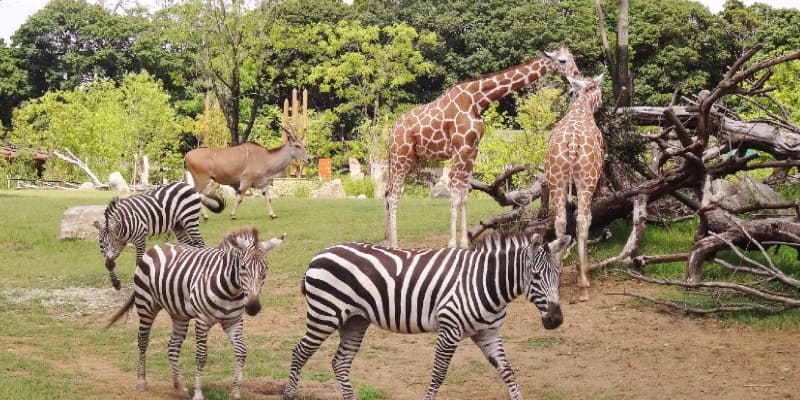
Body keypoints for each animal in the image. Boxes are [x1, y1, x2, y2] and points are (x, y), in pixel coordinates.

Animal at [94, 182, 225, 290]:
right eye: (101, 243)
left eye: (113, 242)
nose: (110, 262)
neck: (123, 226)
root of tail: (189, 186)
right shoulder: (121, 243)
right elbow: (110, 260)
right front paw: (115, 283)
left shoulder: (140, 238)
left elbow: (138, 261)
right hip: (178, 225)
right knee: (188, 245)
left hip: (190, 219)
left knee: (200, 243)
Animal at [104, 227, 282, 400]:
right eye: (243, 267)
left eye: (265, 269)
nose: (253, 307)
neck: (231, 290)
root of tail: (157, 246)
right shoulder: (202, 320)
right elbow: (201, 356)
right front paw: (198, 393)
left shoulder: (234, 321)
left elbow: (242, 352)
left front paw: (235, 392)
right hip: (146, 305)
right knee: (142, 341)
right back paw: (141, 382)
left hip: (179, 314)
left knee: (173, 346)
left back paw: (180, 387)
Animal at [284, 231, 572, 400]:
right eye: (536, 276)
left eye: (558, 275)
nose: (556, 320)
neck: (485, 282)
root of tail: (320, 254)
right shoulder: (449, 330)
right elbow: (438, 374)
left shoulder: (488, 334)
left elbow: (508, 372)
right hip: (324, 315)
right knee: (298, 353)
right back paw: (288, 394)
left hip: (355, 320)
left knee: (340, 363)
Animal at [382, 46, 580, 247]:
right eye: (562, 61)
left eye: (573, 58)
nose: (577, 73)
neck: (477, 100)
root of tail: (391, 133)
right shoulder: (460, 148)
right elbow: (455, 196)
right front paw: (452, 244)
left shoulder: (472, 150)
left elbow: (464, 196)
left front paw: (464, 243)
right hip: (401, 158)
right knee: (393, 196)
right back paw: (394, 245)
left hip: (410, 160)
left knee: (388, 194)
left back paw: (388, 241)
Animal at [544, 74, 608, 300]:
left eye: (571, 91)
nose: (602, 101)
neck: (582, 107)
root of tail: (572, 142)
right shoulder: (594, 178)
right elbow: (587, 219)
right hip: (586, 178)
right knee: (582, 219)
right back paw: (584, 285)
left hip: (556, 179)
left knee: (560, 221)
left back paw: (557, 276)